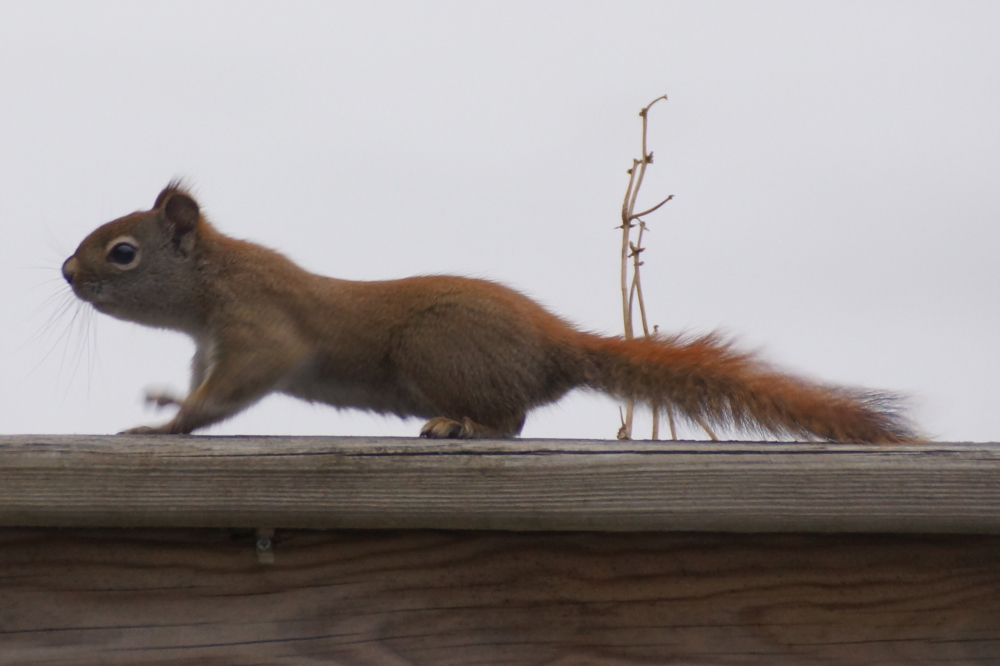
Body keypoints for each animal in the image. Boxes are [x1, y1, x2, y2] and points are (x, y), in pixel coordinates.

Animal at [61, 183, 917, 443]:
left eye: (122, 252)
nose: (67, 274)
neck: (216, 279)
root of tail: (554, 345)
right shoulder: (212, 344)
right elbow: (201, 385)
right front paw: (164, 402)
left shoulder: (259, 328)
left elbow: (243, 382)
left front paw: (167, 424)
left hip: (435, 351)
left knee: (508, 419)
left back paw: (457, 426)